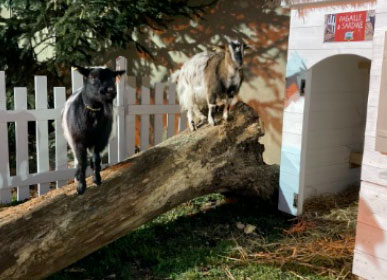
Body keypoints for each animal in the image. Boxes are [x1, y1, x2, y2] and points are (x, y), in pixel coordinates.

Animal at [63, 66, 125, 194]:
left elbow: (96, 158)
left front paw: (97, 179)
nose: (111, 91)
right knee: (78, 160)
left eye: (113, 77)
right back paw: (77, 176)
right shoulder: (78, 141)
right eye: (93, 77)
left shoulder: (101, 139)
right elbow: (82, 162)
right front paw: (81, 186)